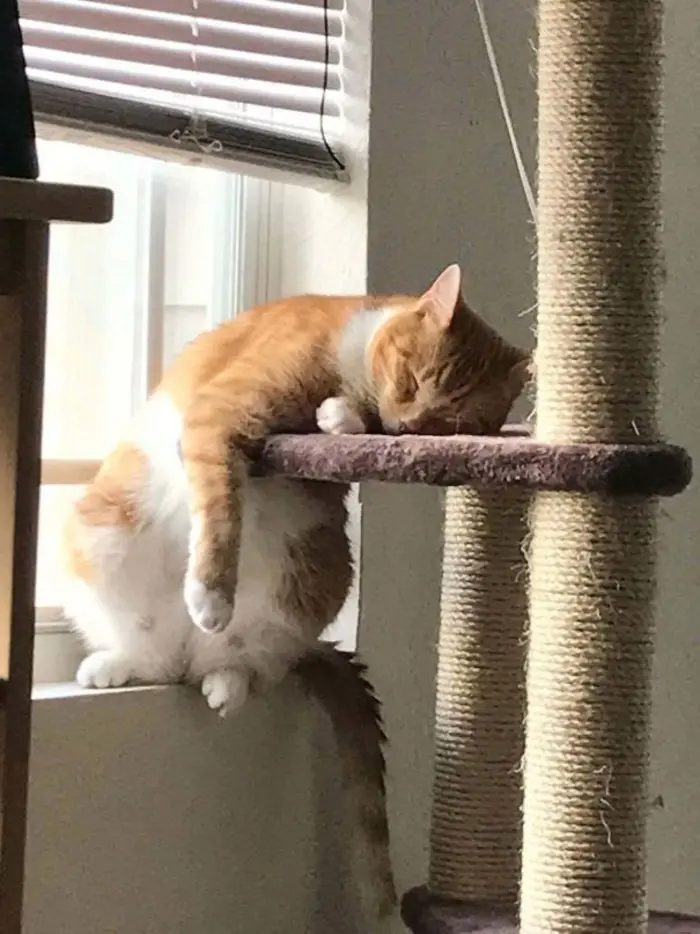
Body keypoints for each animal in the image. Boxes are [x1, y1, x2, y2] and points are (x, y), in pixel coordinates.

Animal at [61, 262, 532, 916]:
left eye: (449, 424)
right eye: (414, 378)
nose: (409, 426)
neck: (346, 362)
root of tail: (185, 658)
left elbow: (343, 426)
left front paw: (344, 416)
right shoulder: (219, 415)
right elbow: (222, 509)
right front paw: (211, 593)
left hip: (316, 573)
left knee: (246, 662)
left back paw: (225, 683)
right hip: (102, 534)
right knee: (155, 656)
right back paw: (120, 664)